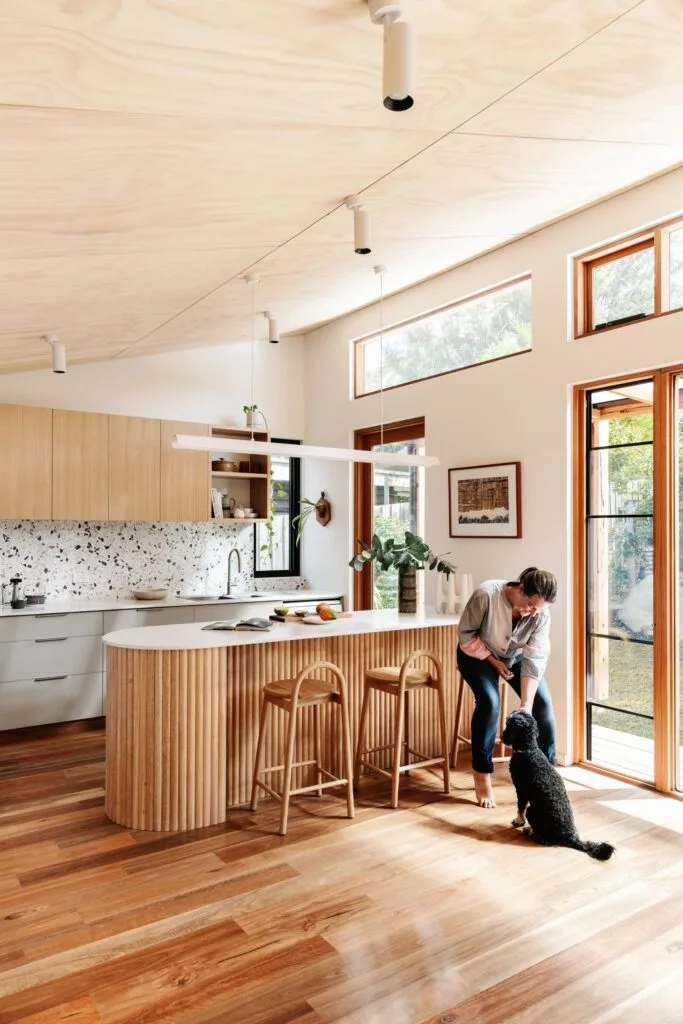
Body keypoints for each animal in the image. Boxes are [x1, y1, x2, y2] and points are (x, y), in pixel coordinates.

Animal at [501, 712, 614, 856]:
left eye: (509, 724)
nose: (502, 735)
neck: (529, 750)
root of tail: (569, 834)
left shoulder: (521, 789)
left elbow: (520, 807)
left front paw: (518, 821)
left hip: (532, 811)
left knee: (545, 840)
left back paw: (530, 832)